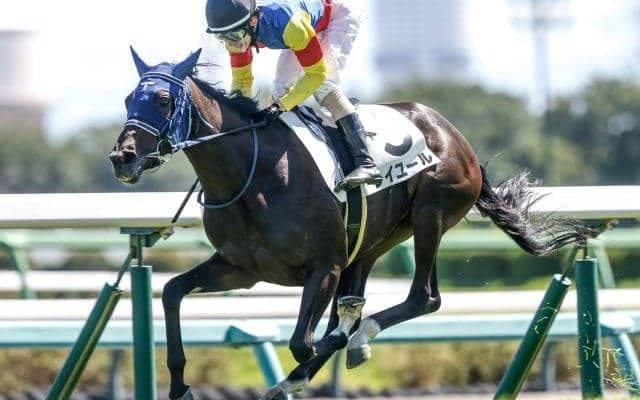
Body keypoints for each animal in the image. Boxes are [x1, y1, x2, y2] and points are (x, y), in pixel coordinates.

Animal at [109, 48, 589, 400]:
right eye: (130, 99)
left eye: (163, 100)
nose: (122, 157)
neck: (254, 174)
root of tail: (456, 136)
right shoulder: (242, 269)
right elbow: (173, 291)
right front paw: (179, 385)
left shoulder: (325, 266)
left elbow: (306, 341)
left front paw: (315, 359)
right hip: (375, 241)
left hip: (430, 215)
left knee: (423, 298)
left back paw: (349, 344)